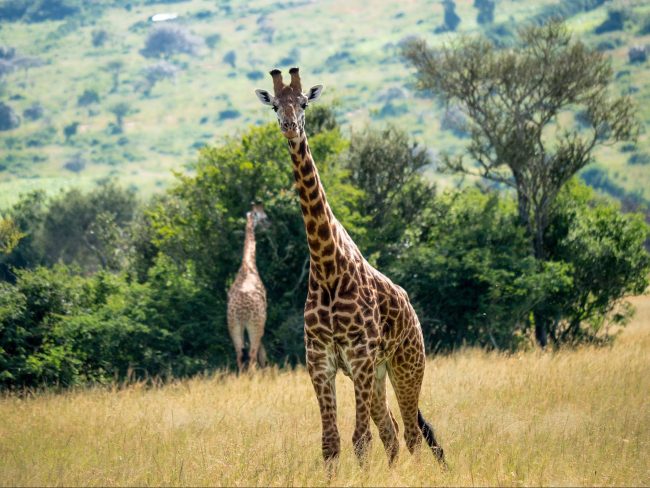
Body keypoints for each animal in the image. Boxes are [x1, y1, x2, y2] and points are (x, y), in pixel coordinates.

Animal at [253, 68, 446, 468]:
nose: (290, 127)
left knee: (410, 431)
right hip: (378, 374)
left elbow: (360, 439)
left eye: (304, 102)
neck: (328, 267)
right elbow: (331, 441)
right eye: (275, 105)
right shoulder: (319, 360)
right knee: (391, 429)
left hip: (407, 365)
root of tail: (412, 311)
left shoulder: (358, 356)